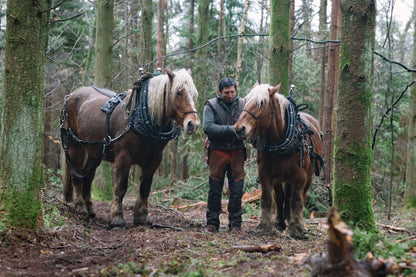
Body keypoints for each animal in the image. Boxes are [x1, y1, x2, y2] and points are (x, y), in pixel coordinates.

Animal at [59, 68, 200, 227]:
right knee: (76, 177)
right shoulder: (123, 157)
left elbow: (145, 188)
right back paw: (81, 208)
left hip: (94, 153)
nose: (193, 124)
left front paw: (141, 217)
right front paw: (117, 218)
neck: (142, 116)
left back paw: (90, 209)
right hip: (74, 146)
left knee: (88, 178)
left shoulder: (153, 161)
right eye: (178, 92)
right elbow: (120, 187)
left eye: (194, 94)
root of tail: (70, 96)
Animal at [236, 82, 324, 237]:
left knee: (302, 197)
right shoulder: (265, 174)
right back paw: (280, 222)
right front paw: (265, 226)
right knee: (280, 197)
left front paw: (296, 229)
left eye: (261, 103)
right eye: (246, 101)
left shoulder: (300, 176)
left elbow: (296, 200)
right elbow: (267, 199)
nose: (240, 128)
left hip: (308, 177)